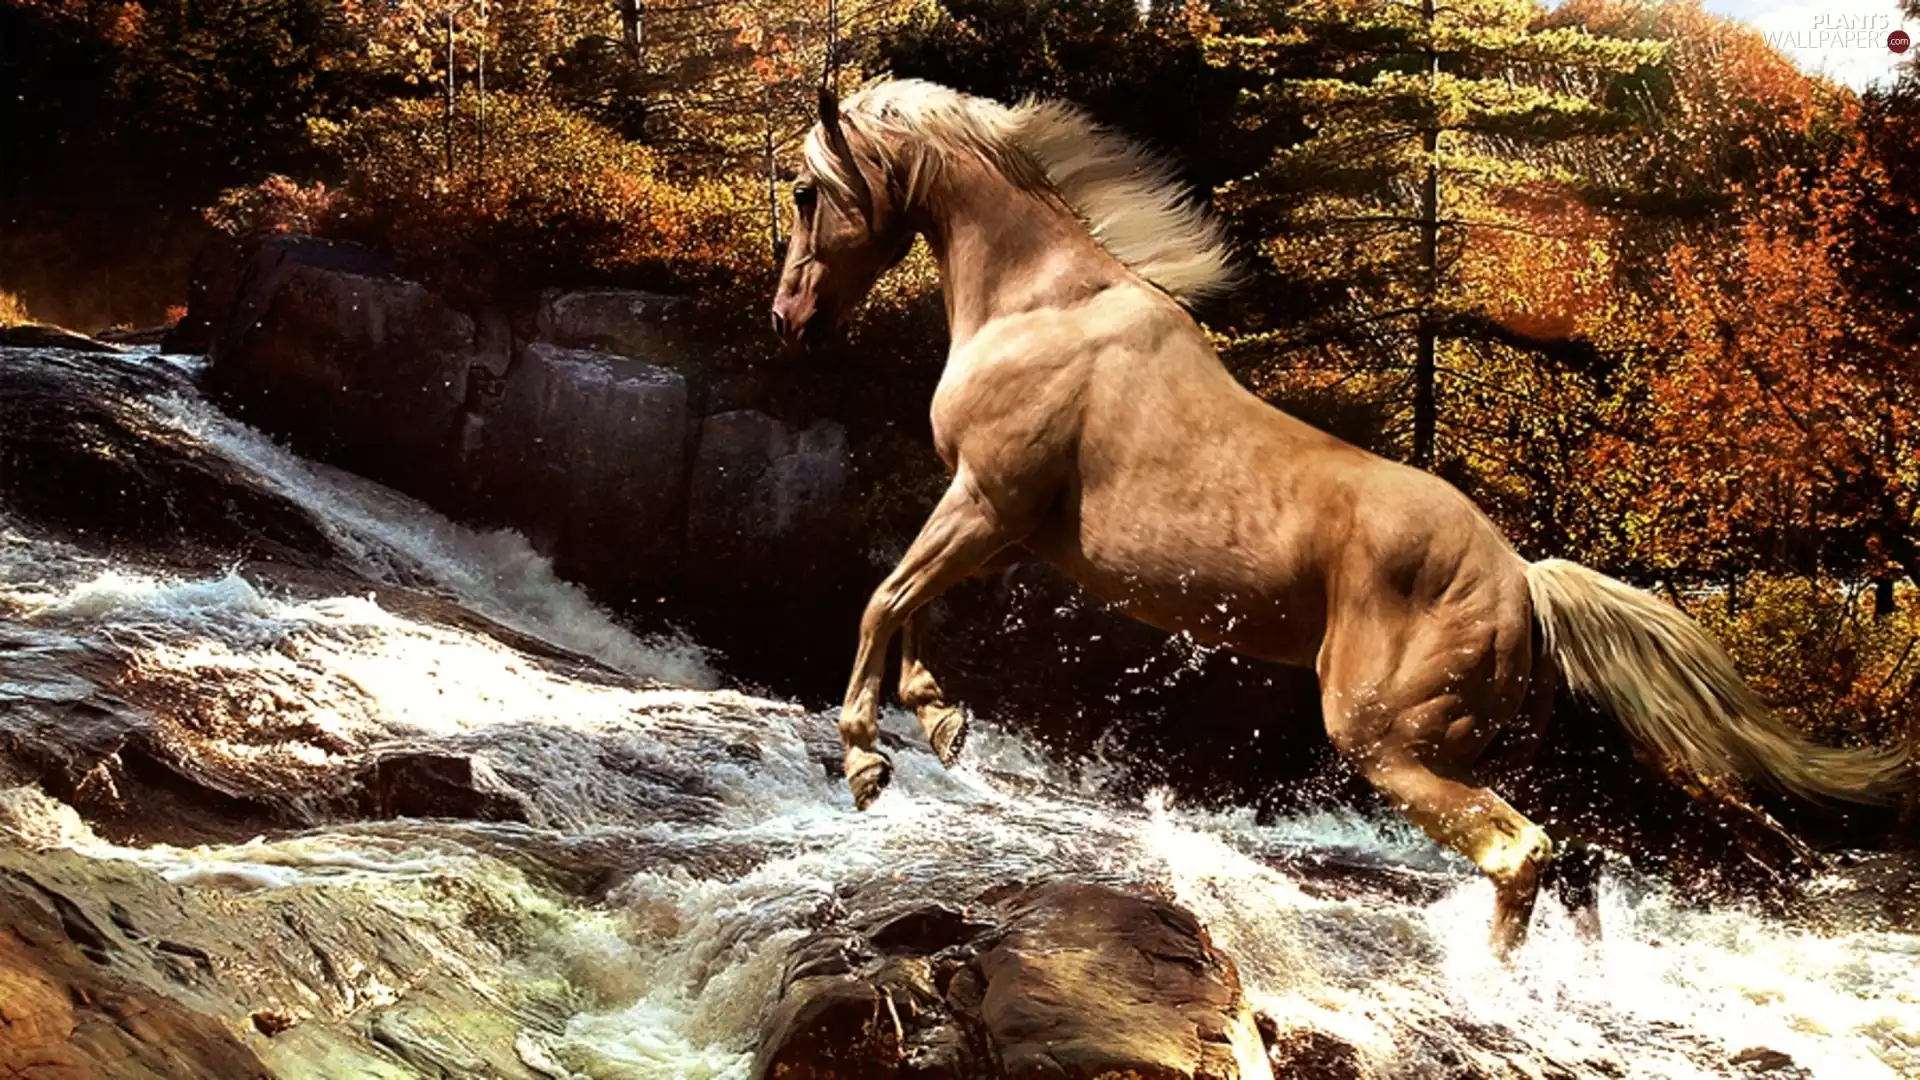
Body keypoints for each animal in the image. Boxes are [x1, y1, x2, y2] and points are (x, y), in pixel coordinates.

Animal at [768, 78, 1914, 955]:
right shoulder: (997, 522)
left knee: (1520, 852)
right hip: (1505, 749)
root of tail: (1522, 581)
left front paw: (869, 761)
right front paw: (941, 718)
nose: (789, 316)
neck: (1044, 303)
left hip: (1387, 742)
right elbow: (912, 603)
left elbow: (882, 599)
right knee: (1582, 854)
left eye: (806, 190)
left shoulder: (988, 499)